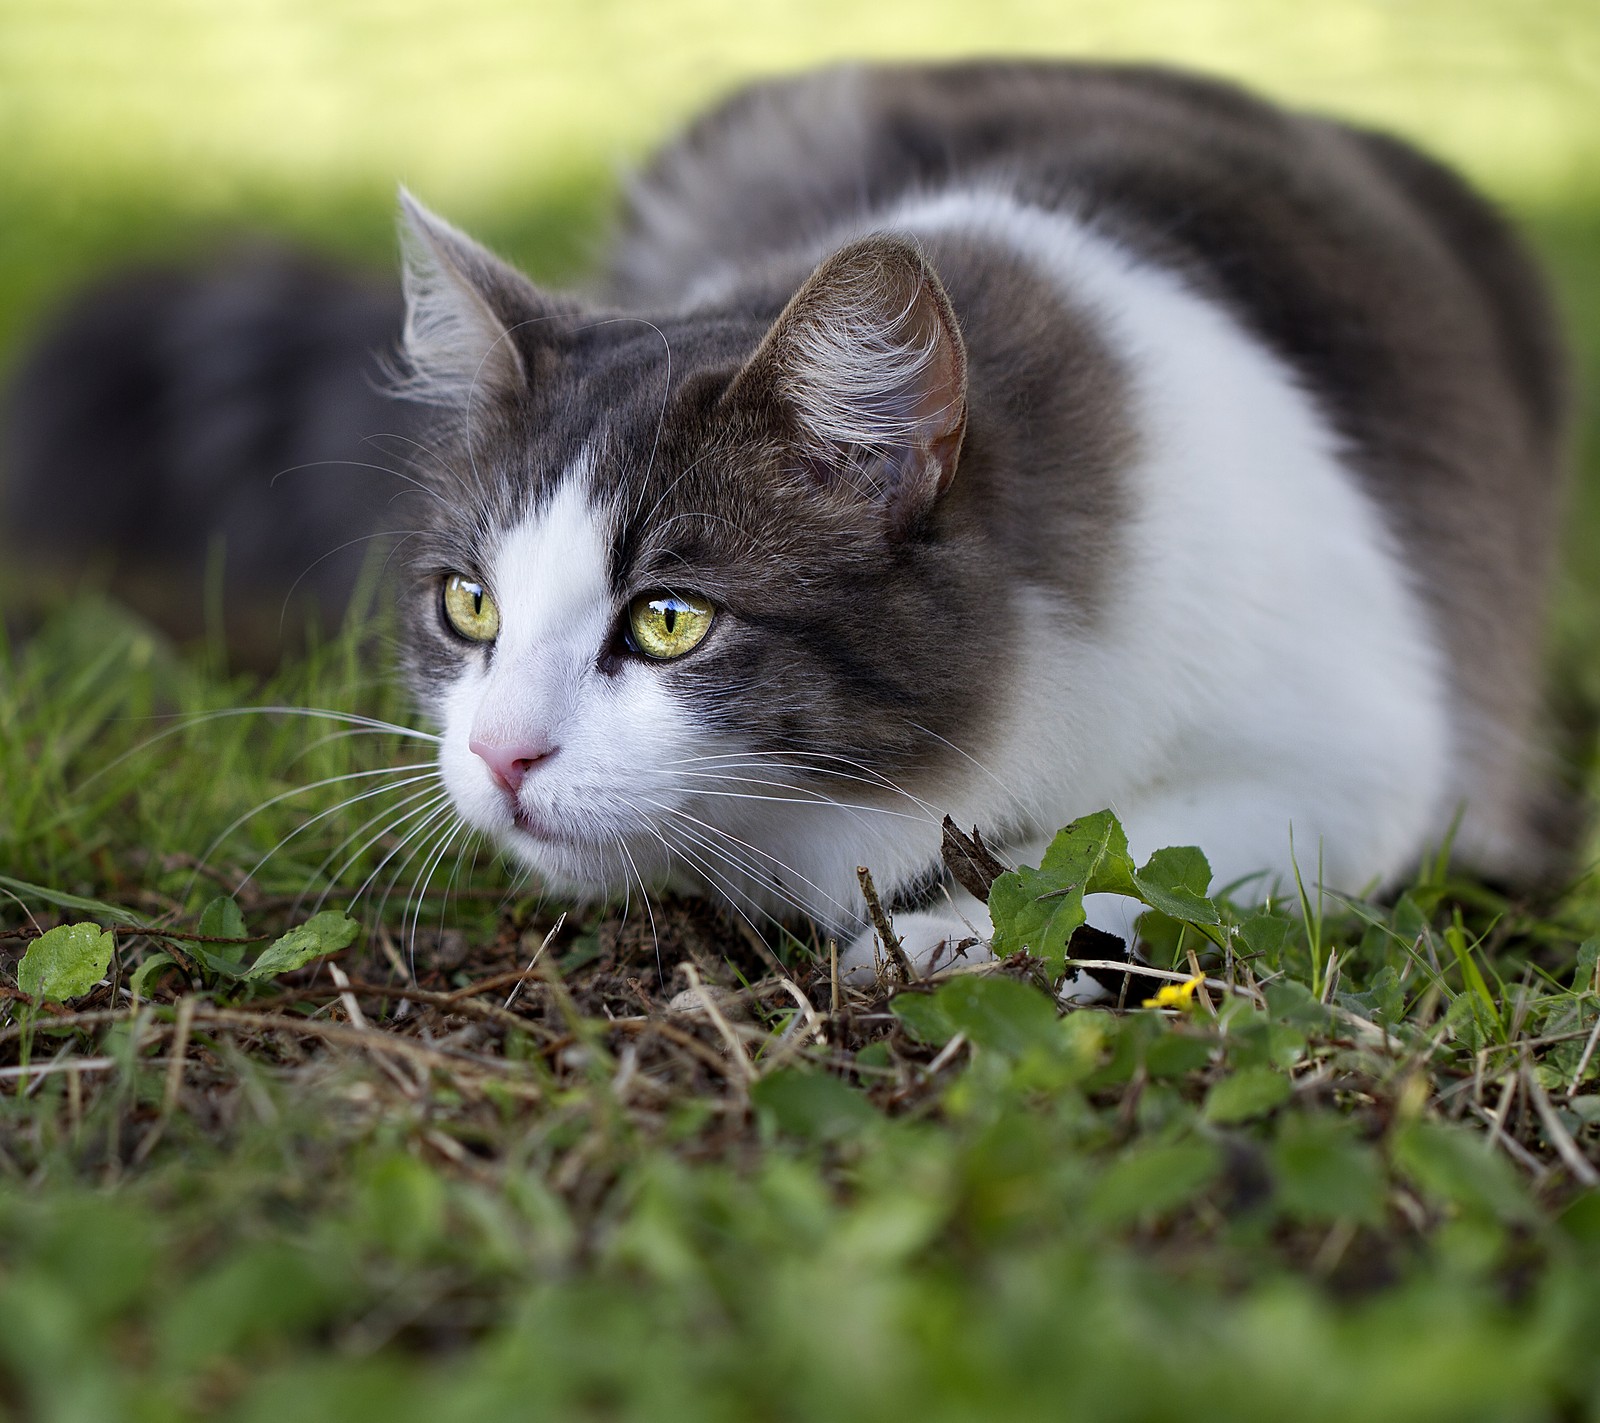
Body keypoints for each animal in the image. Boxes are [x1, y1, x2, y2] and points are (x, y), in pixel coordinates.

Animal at [380, 61, 1568, 973]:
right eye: (469, 605)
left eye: (670, 619)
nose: (498, 756)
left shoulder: (1360, 759)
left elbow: (1122, 849)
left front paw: (940, 933)